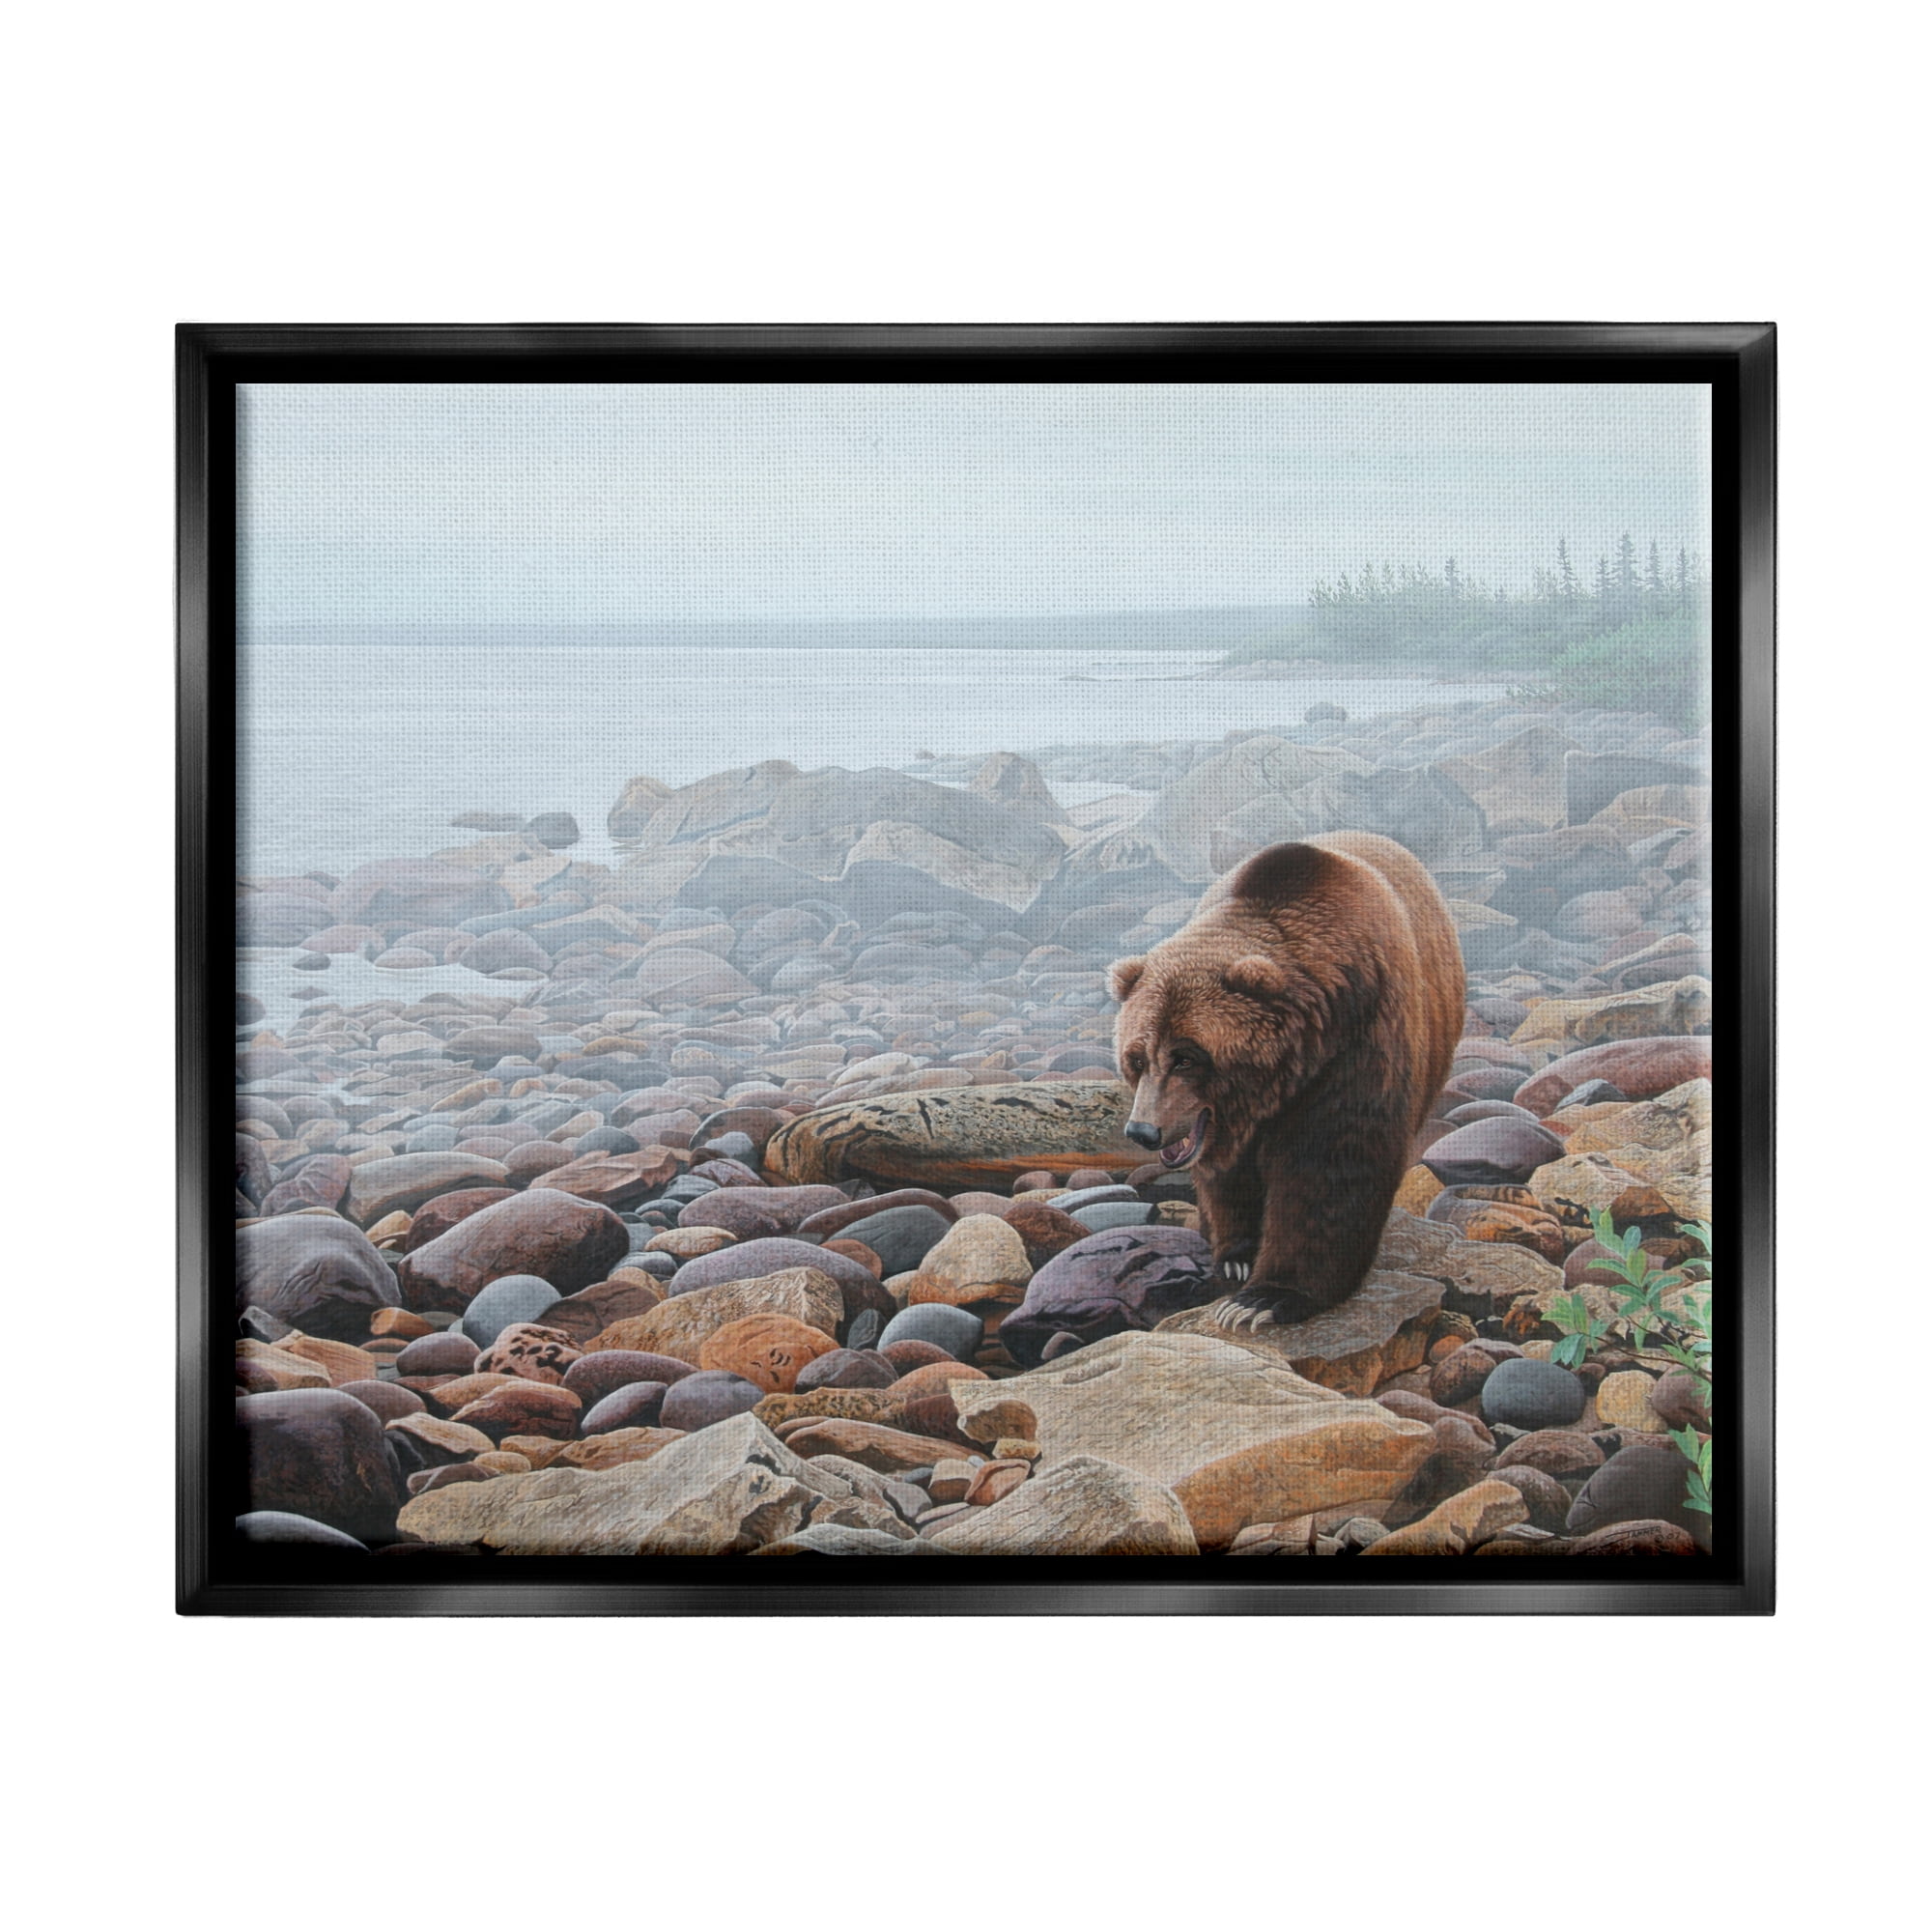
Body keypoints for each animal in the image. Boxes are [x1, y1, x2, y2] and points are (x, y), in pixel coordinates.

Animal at [1109, 831, 1464, 1331]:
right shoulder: (1227, 1125)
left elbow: (1330, 1163)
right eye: (1137, 1058)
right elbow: (1227, 1177)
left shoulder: (1360, 1041)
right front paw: (1237, 1258)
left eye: (1186, 1058)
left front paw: (1265, 1299)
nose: (1143, 1131)